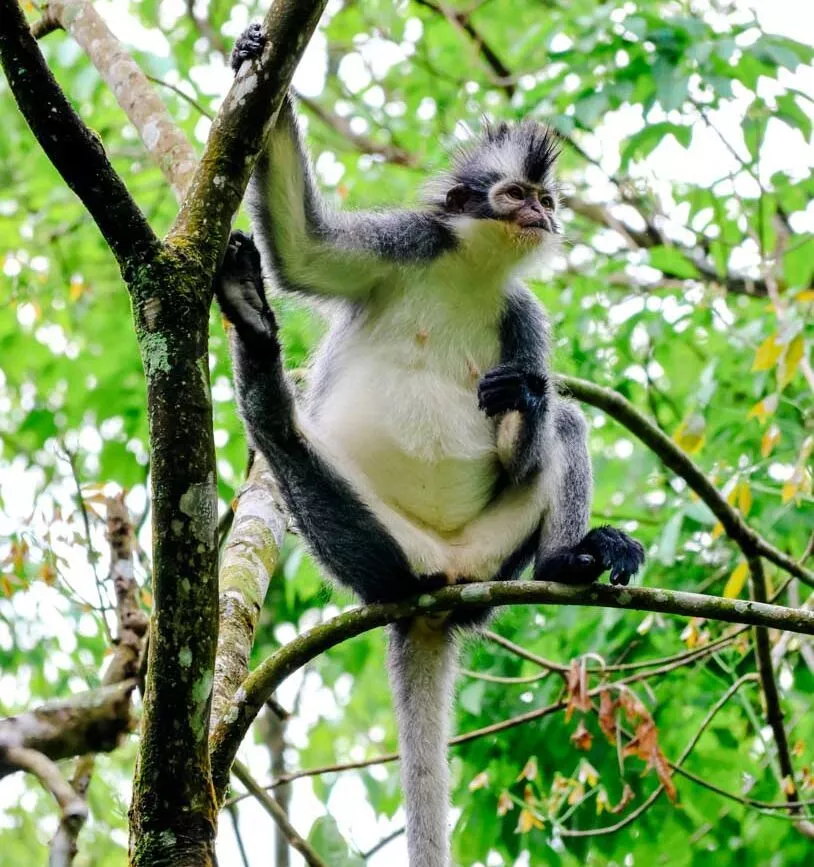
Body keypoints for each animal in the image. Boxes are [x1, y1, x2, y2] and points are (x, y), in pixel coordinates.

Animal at [217, 24, 645, 867]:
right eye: (514, 195)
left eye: (545, 200)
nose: (540, 214)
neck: (471, 271)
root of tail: (440, 586)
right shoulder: (406, 243)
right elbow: (303, 248)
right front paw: (259, 57)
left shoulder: (523, 317)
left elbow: (529, 428)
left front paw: (522, 408)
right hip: (376, 552)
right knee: (286, 444)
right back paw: (262, 369)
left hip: (494, 554)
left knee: (568, 428)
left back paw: (565, 560)